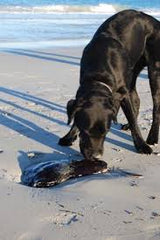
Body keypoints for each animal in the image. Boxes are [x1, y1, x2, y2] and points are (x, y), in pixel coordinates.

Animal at [58, 9, 160, 160]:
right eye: (85, 131)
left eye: (106, 131)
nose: (96, 156)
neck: (99, 74)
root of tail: (153, 19)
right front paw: (69, 136)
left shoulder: (123, 93)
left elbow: (133, 120)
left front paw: (141, 145)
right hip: (132, 71)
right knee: (136, 99)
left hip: (154, 69)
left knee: (156, 106)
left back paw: (152, 137)